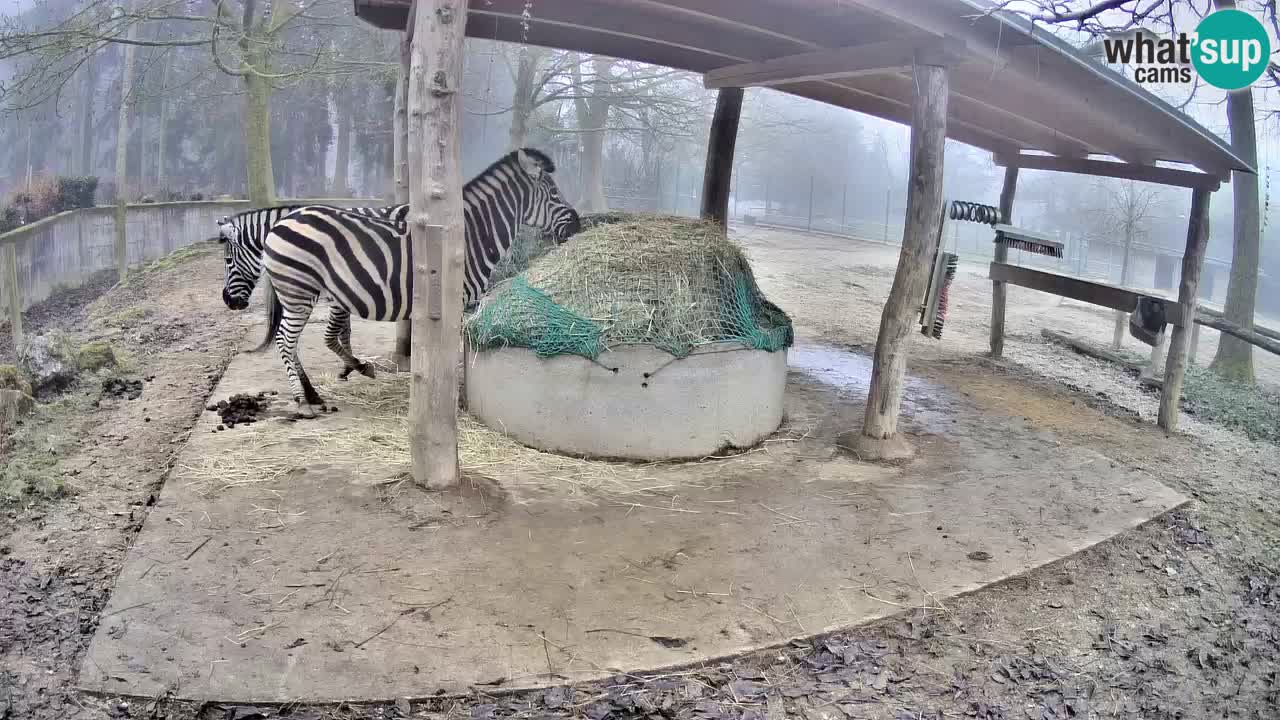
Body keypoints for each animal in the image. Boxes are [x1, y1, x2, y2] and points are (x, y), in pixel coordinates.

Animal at [219, 148, 582, 417]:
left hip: (297, 293)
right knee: (285, 341)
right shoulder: (457, 300)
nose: (578, 226)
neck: (469, 236)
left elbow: (339, 336)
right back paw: (303, 402)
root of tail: (284, 223)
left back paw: (313, 394)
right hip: (298, 292)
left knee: (290, 342)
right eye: (553, 192)